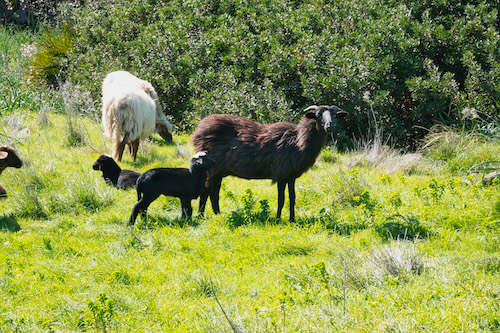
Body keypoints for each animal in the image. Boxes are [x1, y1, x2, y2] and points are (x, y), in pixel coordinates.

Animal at [189, 105, 346, 222]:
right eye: (318, 115)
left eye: (334, 115)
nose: (330, 125)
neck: (298, 141)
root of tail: (199, 129)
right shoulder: (282, 174)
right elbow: (281, 199)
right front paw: (278, 219)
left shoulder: (291, 176)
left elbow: (292, 198)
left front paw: (292, 220)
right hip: (211, 169)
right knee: (206, 192)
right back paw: (202, 216)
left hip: (219, 171)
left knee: (213, 193)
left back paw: (218, 214)